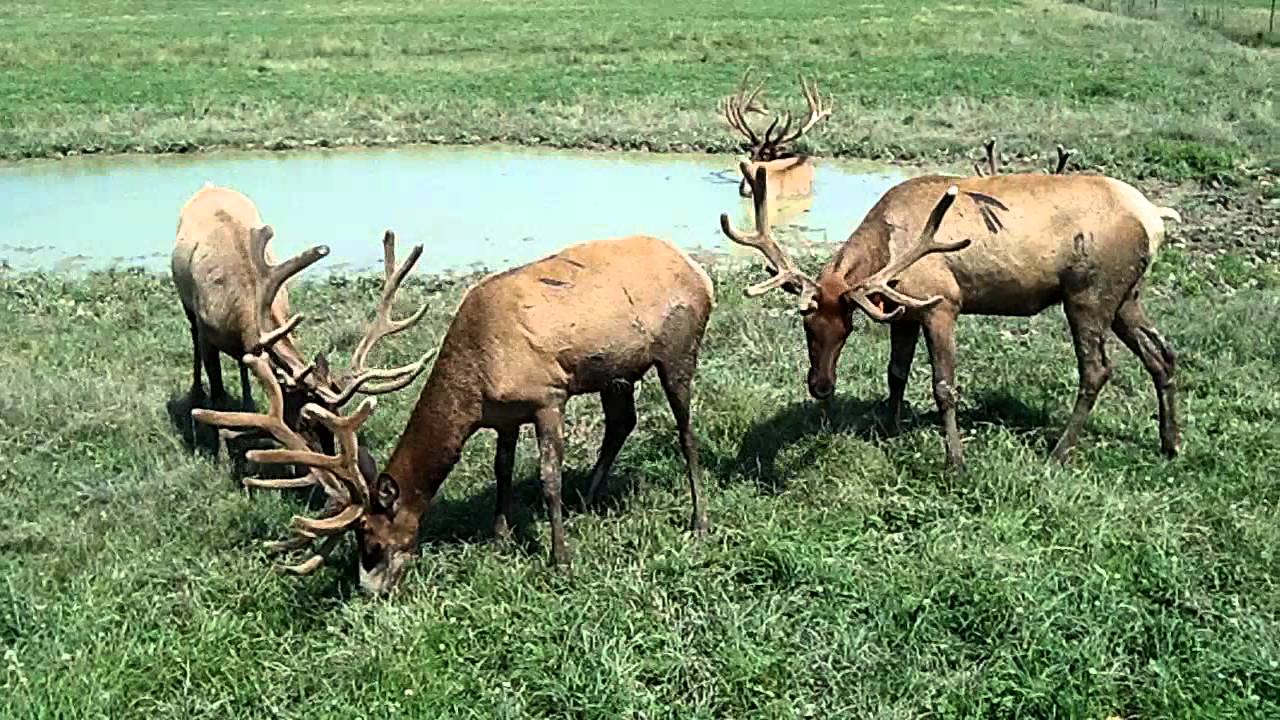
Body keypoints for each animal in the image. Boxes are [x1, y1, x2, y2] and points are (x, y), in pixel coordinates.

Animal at [172, 183, 431, 468]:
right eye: (307, 420)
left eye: (337, 413)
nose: (326, 460)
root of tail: (209, 186)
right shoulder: (206, 331)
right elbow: (217, 393)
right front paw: (220, 455)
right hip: (187, 305)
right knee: (193, 338)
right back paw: (197, 393)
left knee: (242, 362)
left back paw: (248, 399)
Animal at [195, 235, 715, 594]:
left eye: (371, 539)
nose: (369, 591)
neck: (477, 376)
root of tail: (699, 273)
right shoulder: (505, 414)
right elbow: (501, 469)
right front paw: (501, 539)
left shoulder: (548, 395)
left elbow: (548, 477)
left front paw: (560, 559)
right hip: (617, 371)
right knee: (622, 420)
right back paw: (589, 499)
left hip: (678, 347)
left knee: (685, 429)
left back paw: (698, 520)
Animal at [721, 162, 1181, 469]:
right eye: (807, 324)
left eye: (847, 328)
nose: (820, 386)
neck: (889, 249)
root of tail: (1153, 219)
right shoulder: (903, 312)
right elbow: (896, 373)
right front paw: (890, 430)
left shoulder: (941, 304)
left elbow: (944, 386)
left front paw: (955, 460)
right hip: (1127, 295)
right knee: (1162, 354)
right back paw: (1170, 442)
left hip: (1089, 293)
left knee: (1097, 370)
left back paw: (1059, 453)